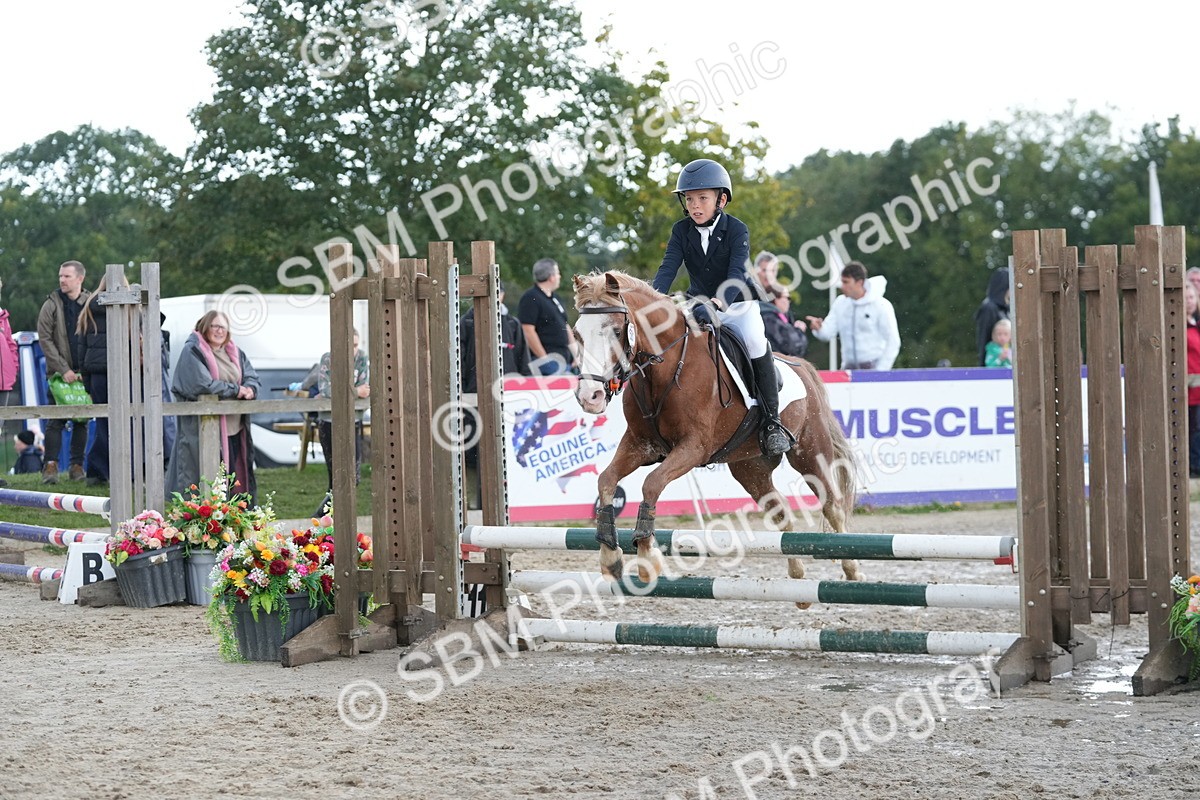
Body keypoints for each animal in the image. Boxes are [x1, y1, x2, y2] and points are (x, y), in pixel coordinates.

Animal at [571, 271, 861, 599]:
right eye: (577, 334)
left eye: (618, 330)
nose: (590, 397)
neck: (664, 369)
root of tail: (802, 366)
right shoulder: (639, 445)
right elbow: (606, 480)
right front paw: (610, 557)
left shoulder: (693, 448)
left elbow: (651, 483)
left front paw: (646, 557)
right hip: (750, 467)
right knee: (780, 511)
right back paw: (797, 578)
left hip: (810, 452)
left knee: (832, 505)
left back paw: (852, 569)